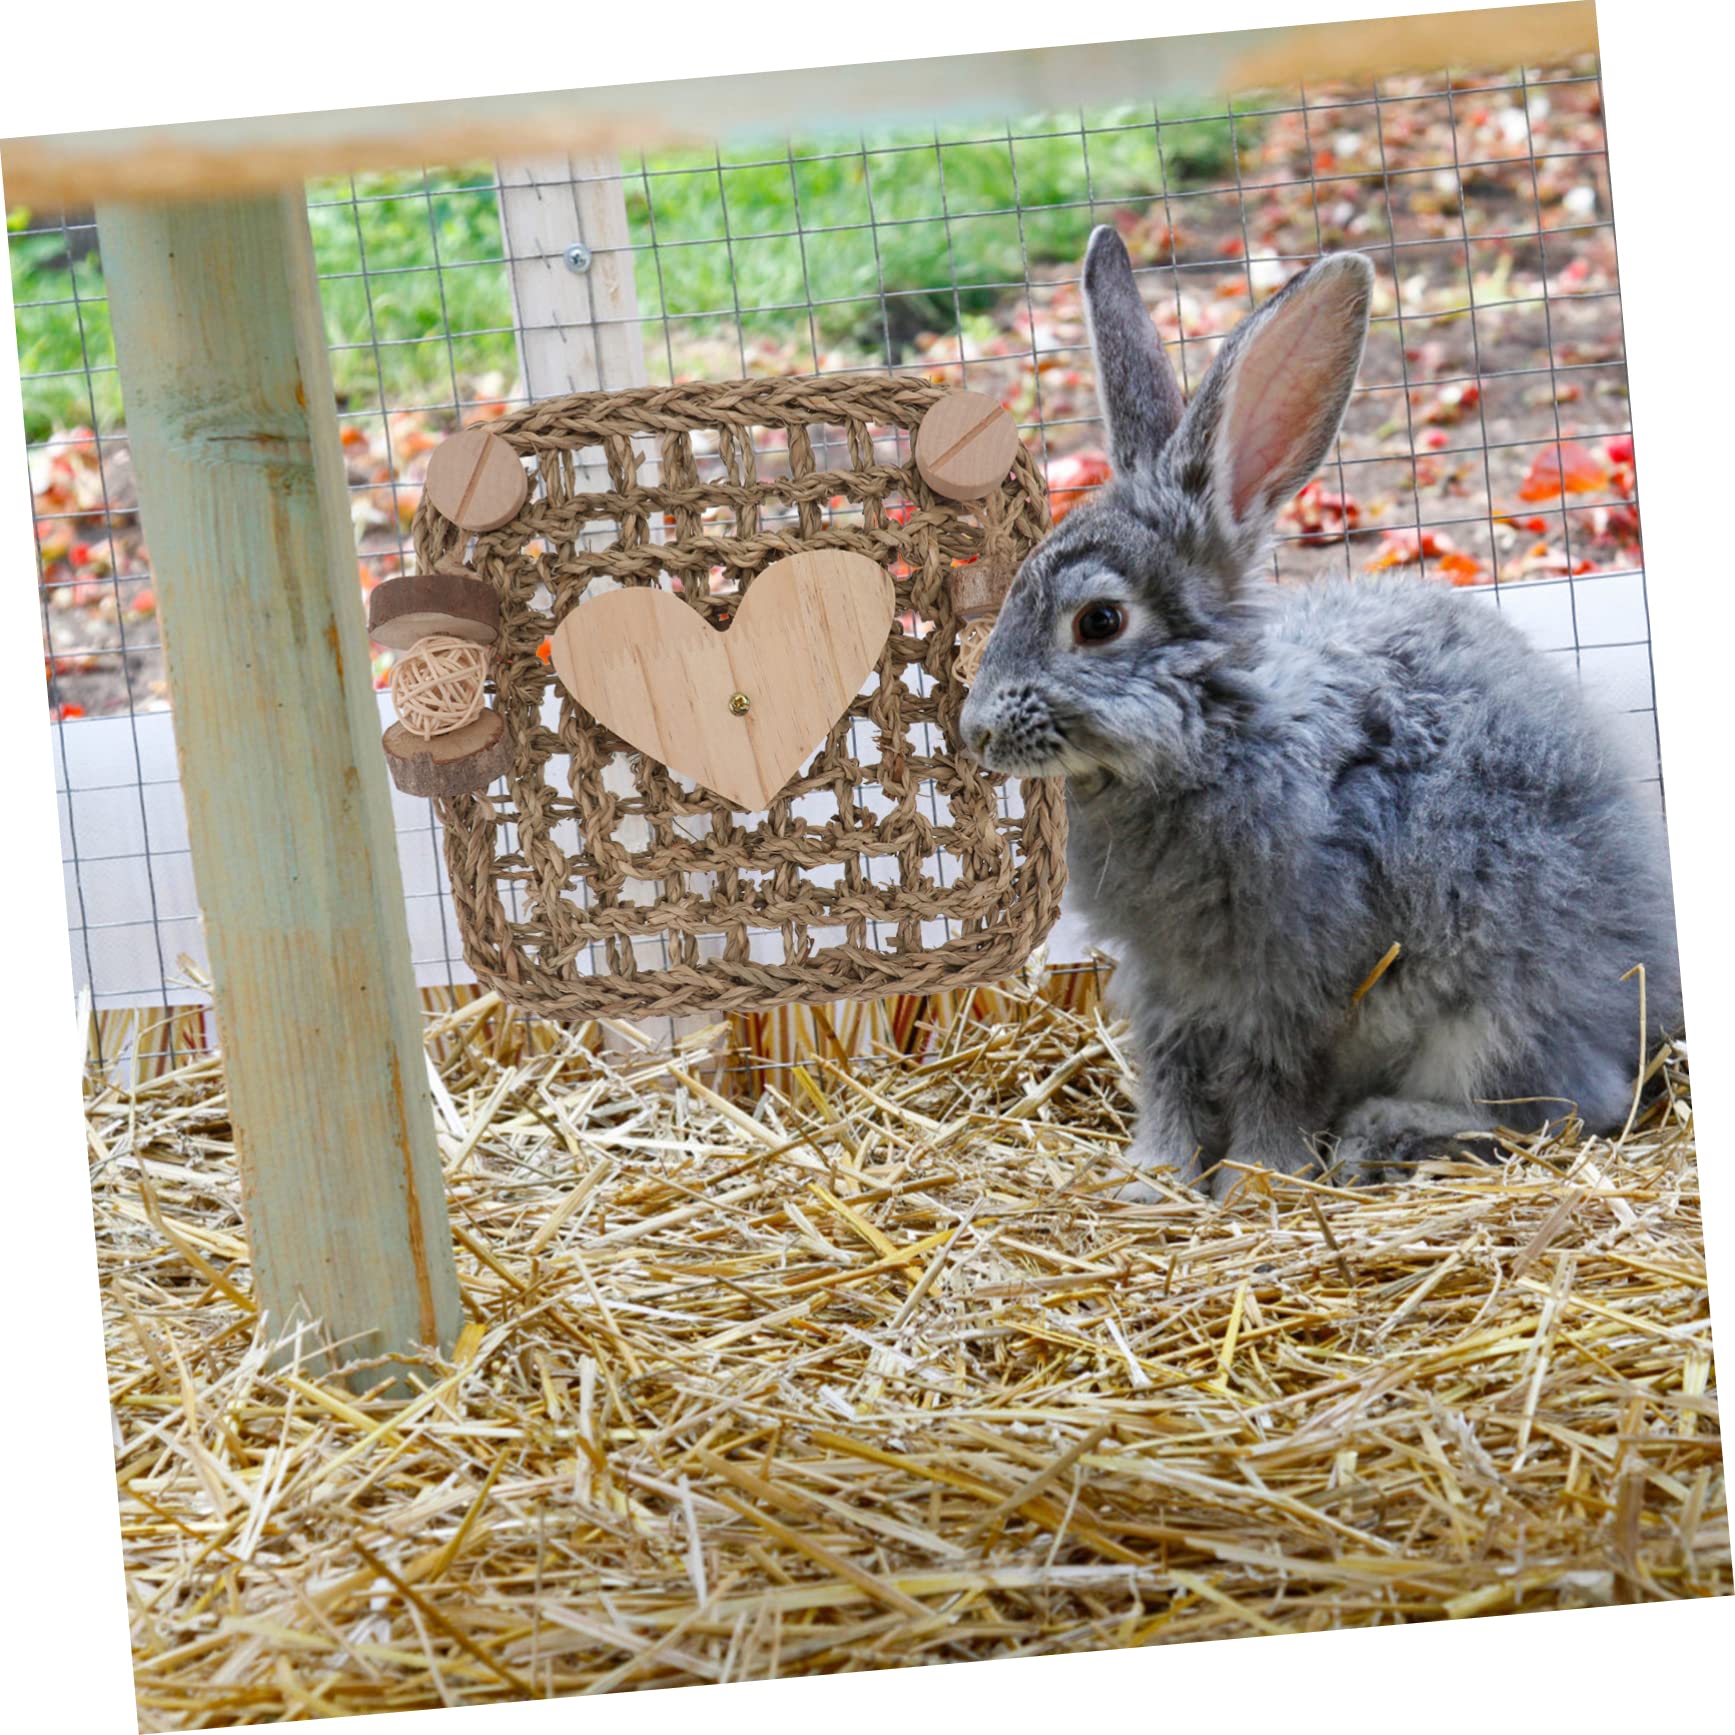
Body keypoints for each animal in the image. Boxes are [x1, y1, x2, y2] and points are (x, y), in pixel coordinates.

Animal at [960, 226, 1682, 1200]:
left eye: (1099, 621)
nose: (977, 731)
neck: (1219, 735)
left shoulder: (1289, 983)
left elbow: (1271, 1079)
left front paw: (1258, 1182)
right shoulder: (1165, 986)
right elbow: (1171, 1074)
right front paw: (1154, 1179)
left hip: (1498, 1013)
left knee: (1572, 1105)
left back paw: (1388, 1133)